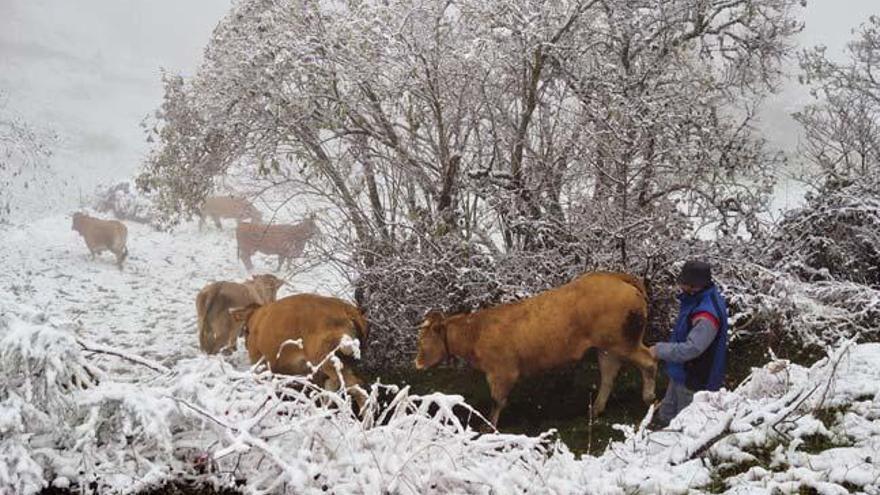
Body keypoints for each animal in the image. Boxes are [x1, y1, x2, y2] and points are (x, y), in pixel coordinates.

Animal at [416, 272, 656, 426]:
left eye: (424, 340)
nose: (417, 363)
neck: (476, 331)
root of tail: (615, 276)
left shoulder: (501, 372)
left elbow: (497, 402)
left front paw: (489, 427)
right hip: (607, 348)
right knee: (608, 376)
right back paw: (596, 409)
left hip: (623, 343)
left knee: (649, 361)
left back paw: (650, 399)